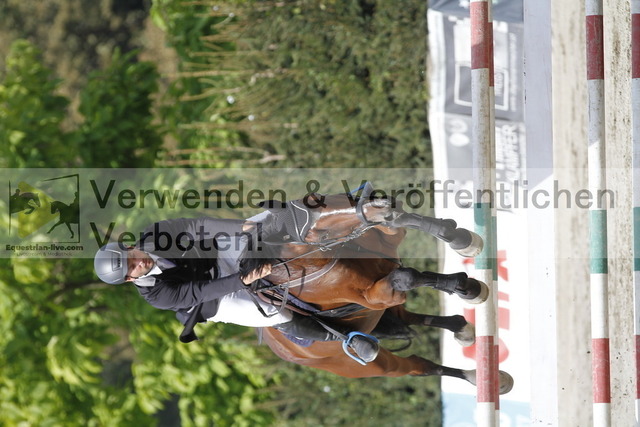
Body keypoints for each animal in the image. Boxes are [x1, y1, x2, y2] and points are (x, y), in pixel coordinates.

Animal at [239, 188, 513, 394]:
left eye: (318, 198)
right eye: (319, 233)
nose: (381, 204)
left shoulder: (385, 242)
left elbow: (399, 223)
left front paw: (459, 241)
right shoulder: (378, 297)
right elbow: (408, 276)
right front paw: (463, 278)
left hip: (382, 317)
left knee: (410, 318)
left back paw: (462, 324)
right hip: (374, 362)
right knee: (417, 365)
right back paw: (481, 376)